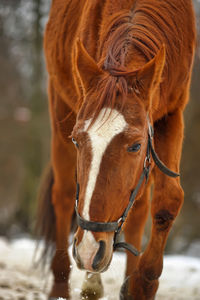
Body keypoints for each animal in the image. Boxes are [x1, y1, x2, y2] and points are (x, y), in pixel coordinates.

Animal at [36, 1, 196, 298]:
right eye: (77, 140)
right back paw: (65, 283)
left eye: (135, 145)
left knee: (139, 207)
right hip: (59, 104)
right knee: (63, 195)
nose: (88, 251)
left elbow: (169, 200)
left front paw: (142, 283)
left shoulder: (172, 114)